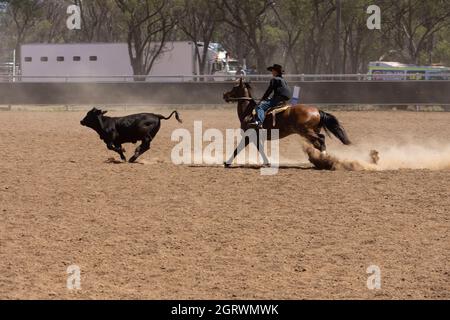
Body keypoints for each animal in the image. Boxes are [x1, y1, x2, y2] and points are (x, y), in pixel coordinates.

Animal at [222, 79, 352, 169]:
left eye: (234, 87)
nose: (224, 95)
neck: (249, 112)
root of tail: (317, 111)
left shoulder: (250, 136)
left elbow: (240, 149)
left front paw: (227, 163)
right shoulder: (253, 137)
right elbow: (250, 149)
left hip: (307, 131)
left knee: (321, 139)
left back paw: (324, 158)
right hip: (309, 133)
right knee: (318, 143)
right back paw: (323, 160)